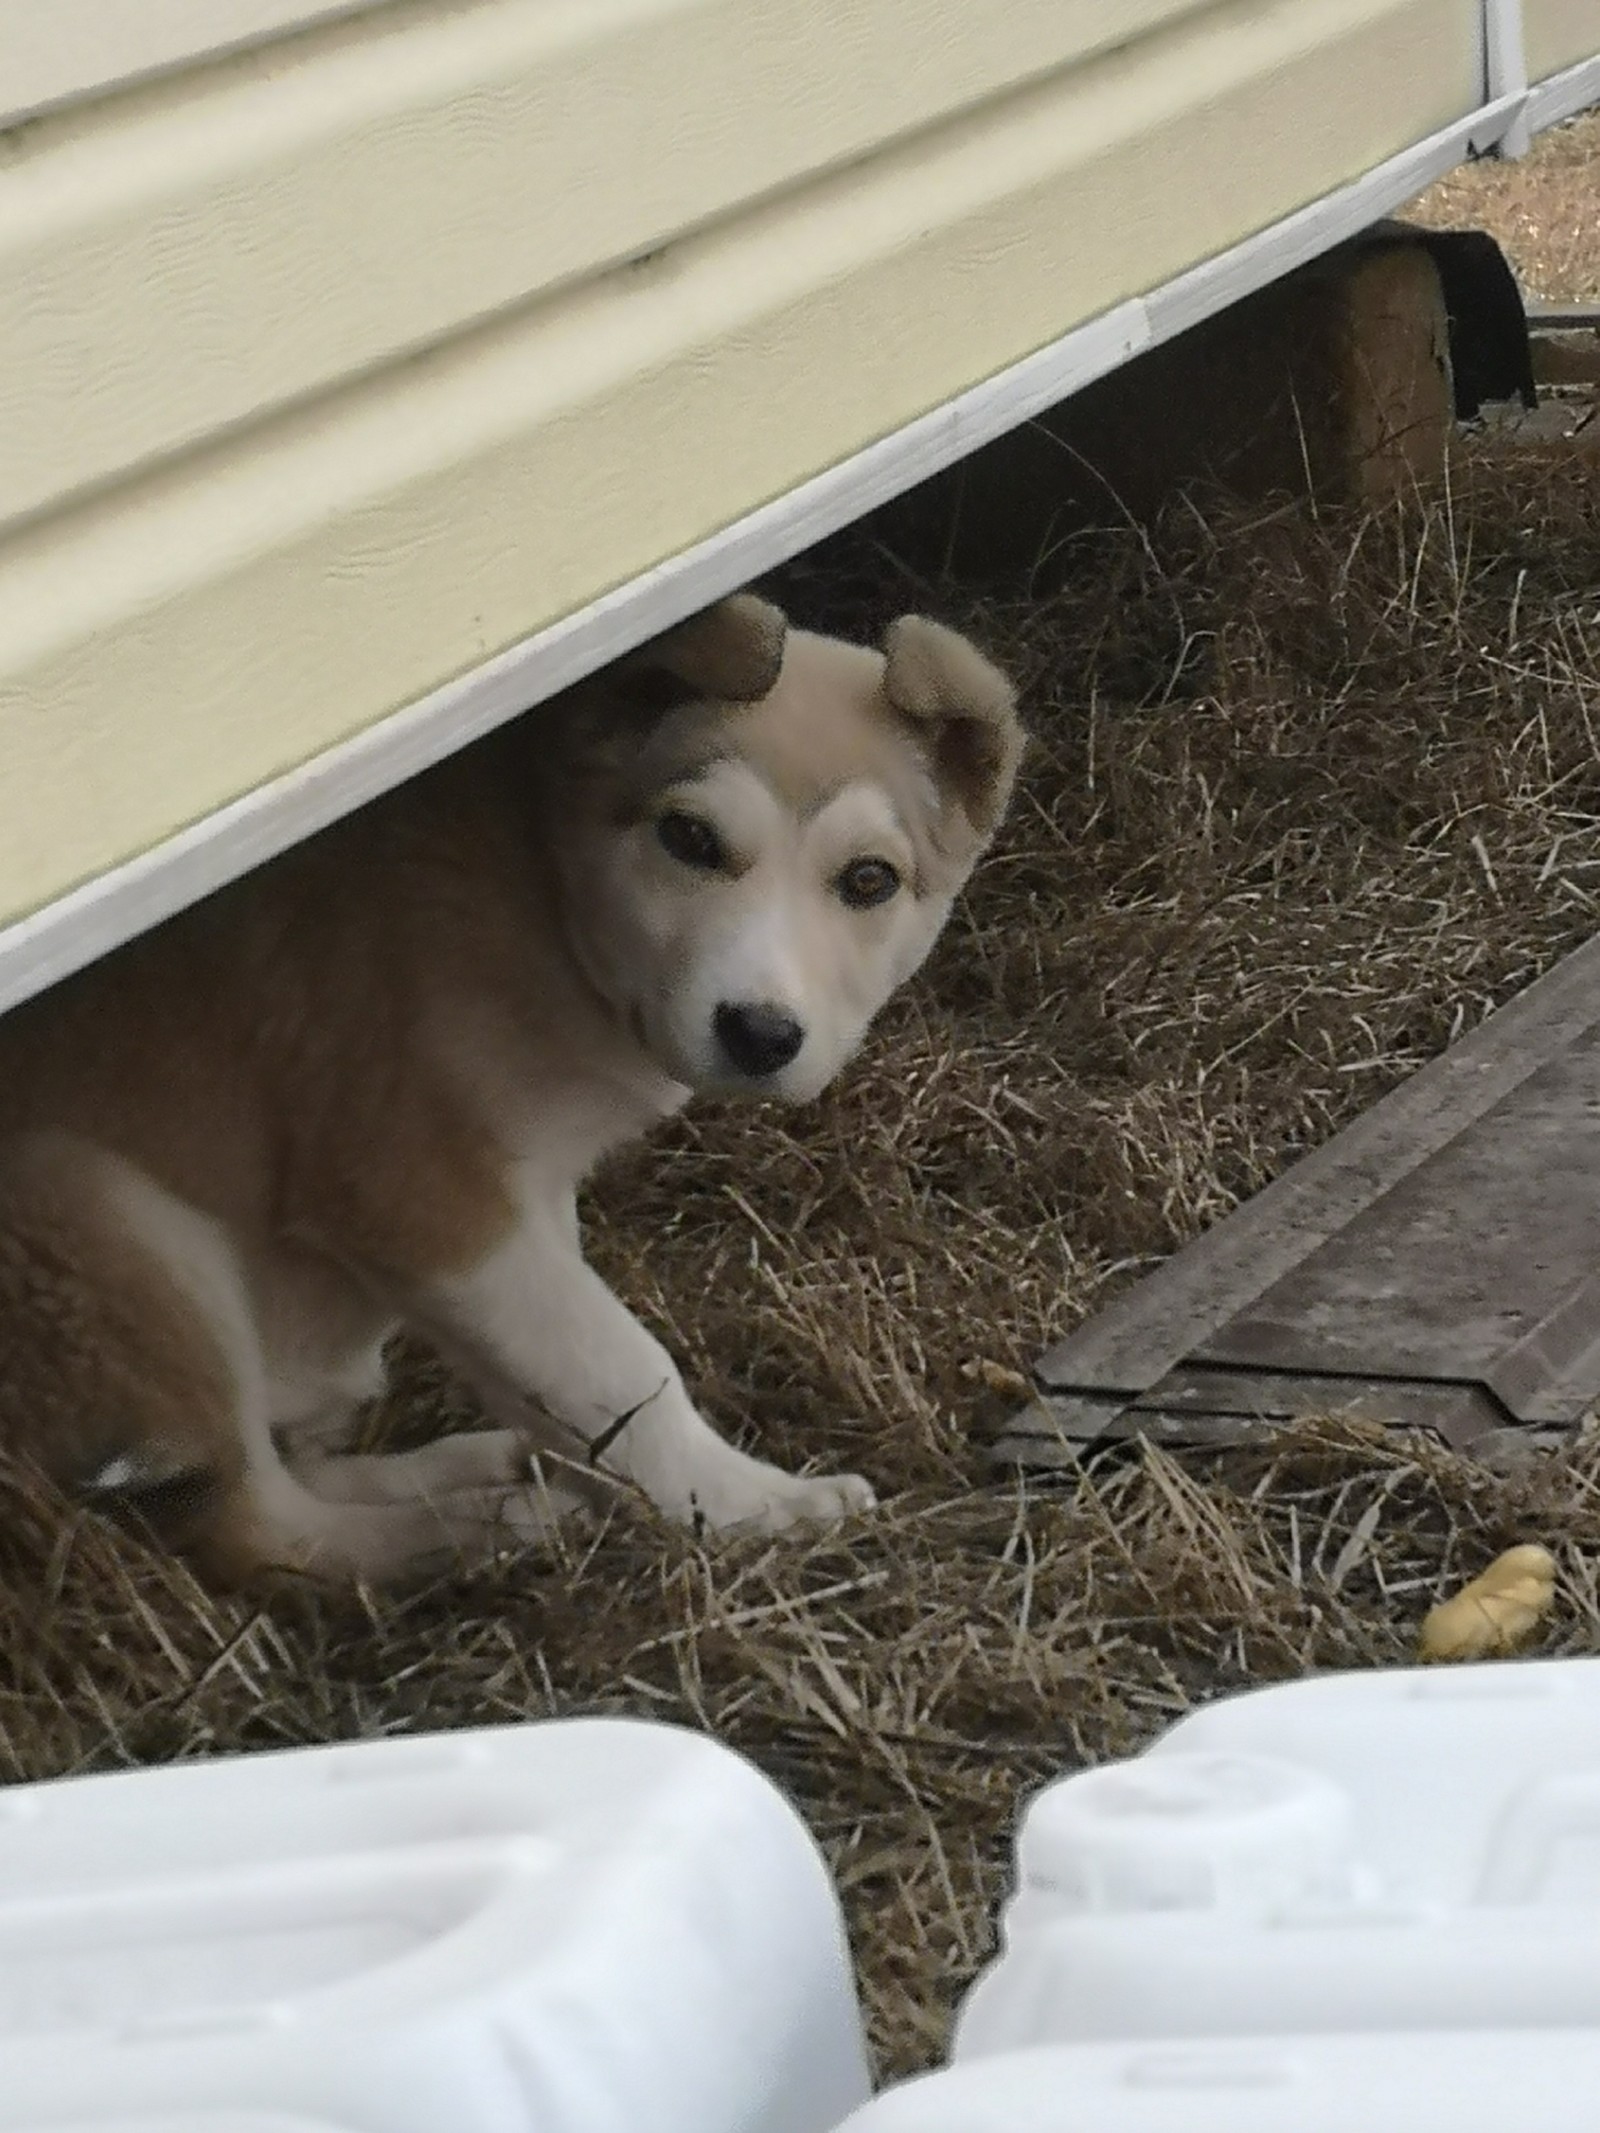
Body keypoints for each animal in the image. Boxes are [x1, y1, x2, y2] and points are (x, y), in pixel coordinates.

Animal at [0, 597, 1028, 1586]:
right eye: (689, 837)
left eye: (869, 880)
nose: (761, 1033)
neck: (540, 891)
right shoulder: (419, 1187)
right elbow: (616, 1362)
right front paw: (750, 1504)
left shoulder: (529, 1191)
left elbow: (558, 1369)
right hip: (106, 1234)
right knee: (262, 1533)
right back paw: (482, 1531)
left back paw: (470, 1470)